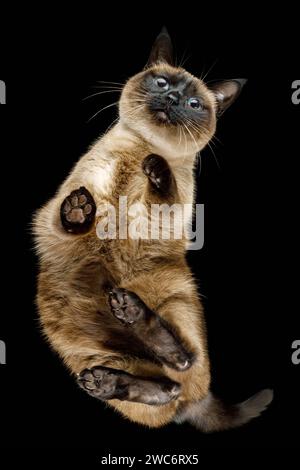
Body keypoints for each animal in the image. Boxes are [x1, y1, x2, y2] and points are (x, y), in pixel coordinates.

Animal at [32, 28, 272, 434]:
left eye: (194, 103)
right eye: (161, 83)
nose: (172, 98)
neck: (142, 149)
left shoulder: (165, 213)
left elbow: (164, 193)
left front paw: (156, 168)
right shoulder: (52, 216)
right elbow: (71, 215)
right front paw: (81, 209)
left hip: (176, 301)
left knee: (183, 361)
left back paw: (129, 310)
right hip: (86, 353)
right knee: (164, 390)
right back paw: (106, 377)